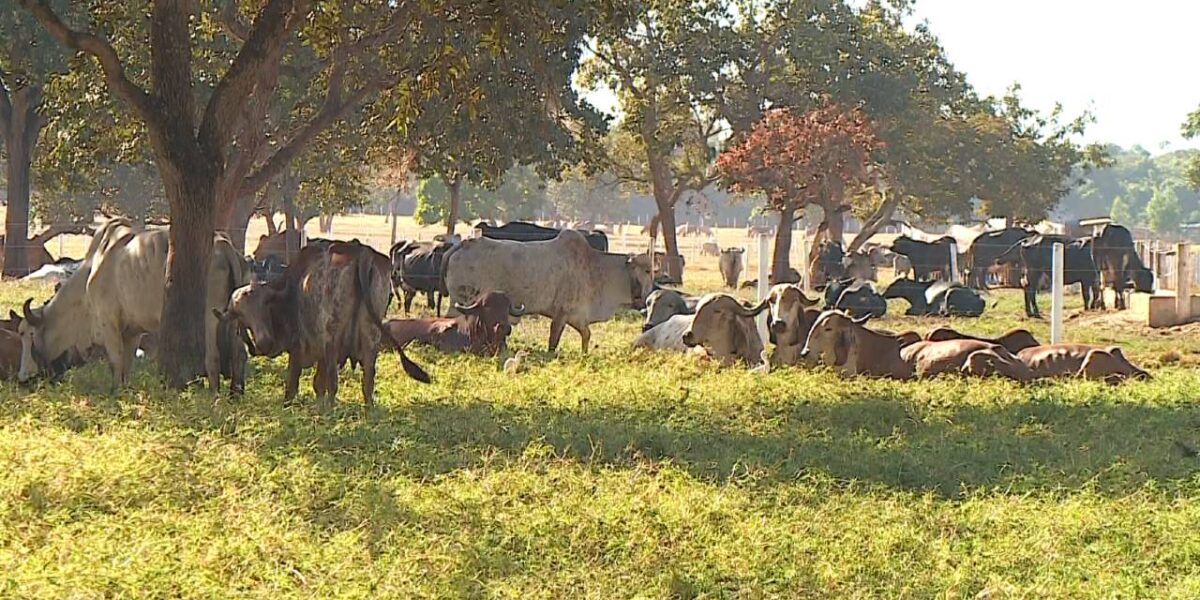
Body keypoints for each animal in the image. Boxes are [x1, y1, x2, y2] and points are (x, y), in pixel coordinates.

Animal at [18, 218, 246, 391]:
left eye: (26, 334)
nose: (22, 378)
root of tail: (222, 243)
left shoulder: (109, 323)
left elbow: (116, 361)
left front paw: (115, 391)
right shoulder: (133, 331)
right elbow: (127, 365)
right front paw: (125, 390)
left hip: (210, 317)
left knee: (213, 358)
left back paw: (214, 397)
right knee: (239, 354)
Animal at [225, 236, 432, 405]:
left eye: (263, 306)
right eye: (242, 316)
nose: (263, 343)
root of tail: (361, 251)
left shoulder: (300, 345)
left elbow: (295, 382)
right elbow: (318, 383)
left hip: (332, 338)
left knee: (334, 382)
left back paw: (329, 411)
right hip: (370, 335)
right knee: (368, 380)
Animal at [444, 229, 652, 350]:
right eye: (648, 270)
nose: (647, 300)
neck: (594, 268)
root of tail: (464, 244)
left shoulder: (577, 316)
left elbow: (586, 336)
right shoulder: (561, 314)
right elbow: (553, 342)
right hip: (463, 302)